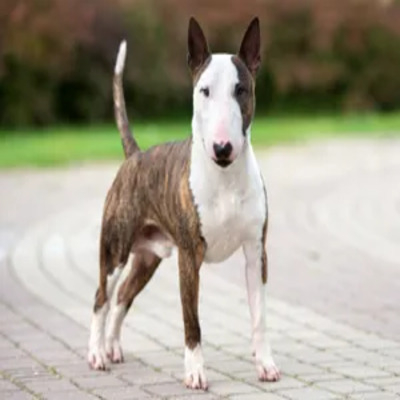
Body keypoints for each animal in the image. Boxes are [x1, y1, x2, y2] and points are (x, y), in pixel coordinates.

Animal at [87, 17, 282, 390]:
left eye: (241, 90)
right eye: (204, 90)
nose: (222, 148)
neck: (225, 178)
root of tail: (135, 156)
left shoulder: (256, 254)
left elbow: (261, 317)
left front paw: (265, 365)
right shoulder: (190, 257)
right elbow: (192, 321)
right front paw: (195, 372)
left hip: (147, 258)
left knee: (122, 297)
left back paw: (113, 347)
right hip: (115, 251)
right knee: (102, 298)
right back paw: (96, 354)